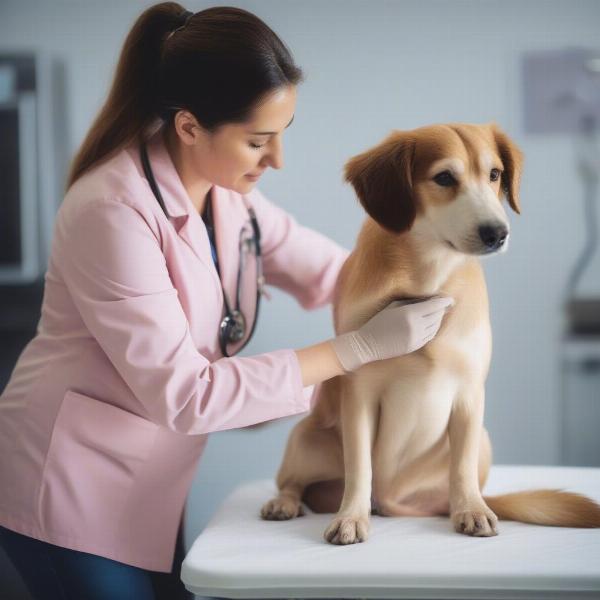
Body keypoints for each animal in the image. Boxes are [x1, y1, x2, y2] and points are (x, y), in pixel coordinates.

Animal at [260, 122, 600, 544]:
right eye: (444, 178)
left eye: (495, 174)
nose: (497, 233)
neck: (427, 278)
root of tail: (390, 500)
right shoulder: (359, 395)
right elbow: (359, 466)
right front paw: (351, 516)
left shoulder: (470, 393)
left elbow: (462, 467)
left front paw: (470, 509)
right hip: (305, 436)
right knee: (293, 482)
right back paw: (286, 502)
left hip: (482, 439)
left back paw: (460, 504)